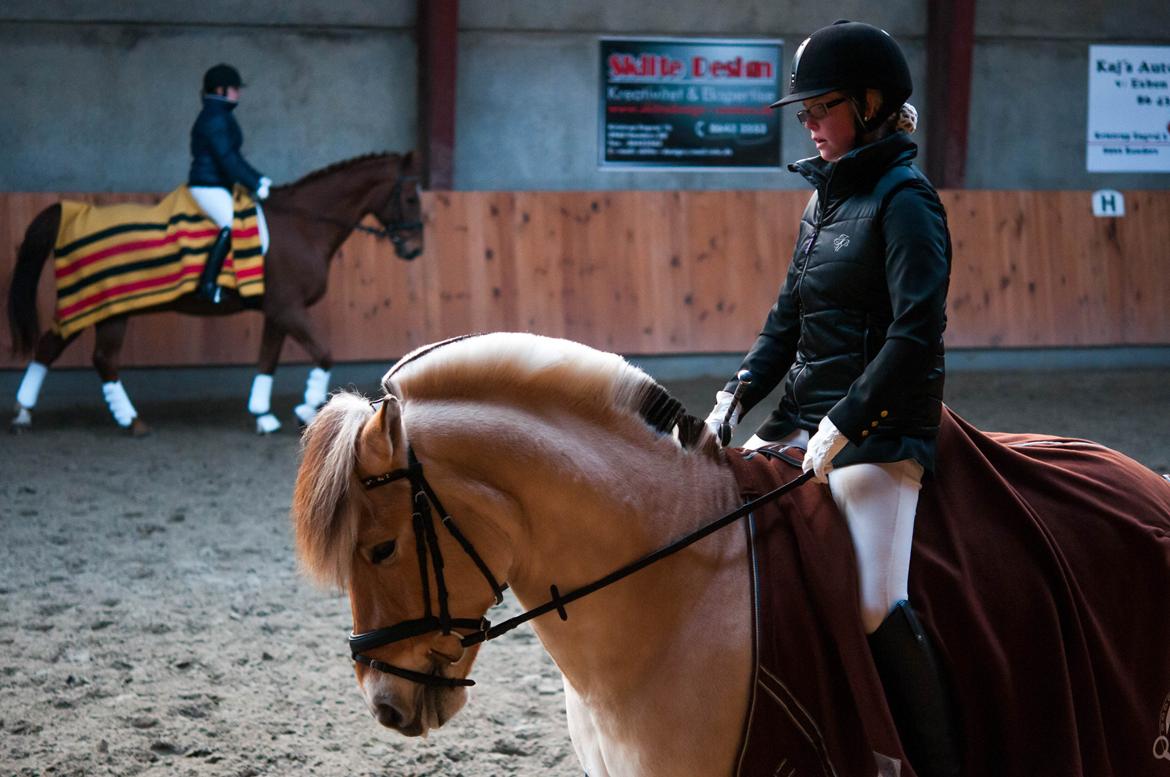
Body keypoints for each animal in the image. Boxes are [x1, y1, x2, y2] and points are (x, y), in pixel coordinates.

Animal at [4, 148, 425, 432]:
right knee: (88, 354)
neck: (304, 225)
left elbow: (267, 360)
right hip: (102, 305)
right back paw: (124, 420)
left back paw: (34, 414)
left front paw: (264, 416)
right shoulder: (289, 309)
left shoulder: (277, 312)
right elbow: (323, 354)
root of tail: (74, 212)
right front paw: (306, 411)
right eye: (409, 197)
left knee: (65, 350)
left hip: (103, 309)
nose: (415, 249)